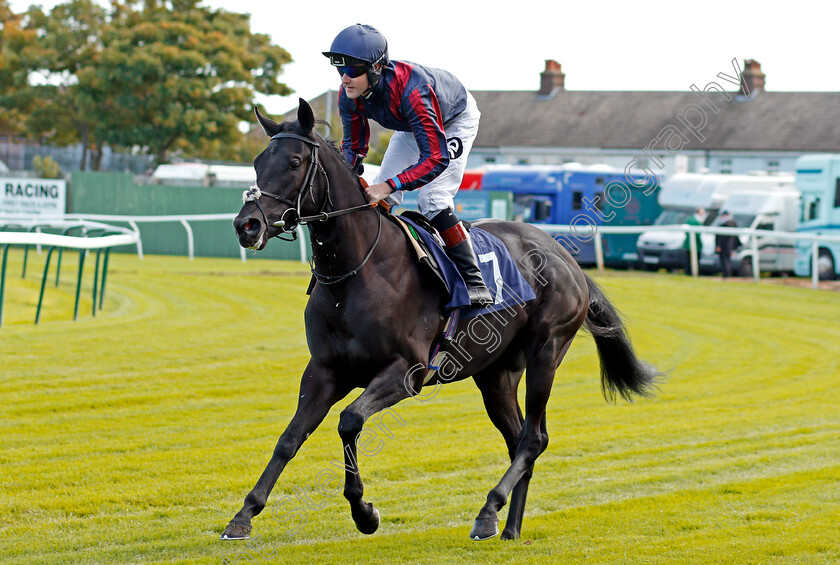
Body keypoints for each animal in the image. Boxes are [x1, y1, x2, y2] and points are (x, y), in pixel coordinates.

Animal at [223, 99, 664, 540]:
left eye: (295, 162)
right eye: (258, 162)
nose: (247, 225)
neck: (357, 271)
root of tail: (565, 257)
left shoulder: (407, 371)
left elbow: (349, 421)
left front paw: (365, 513)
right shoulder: (324, 371)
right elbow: (290, 437)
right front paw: (243, 516)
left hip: (546, 352)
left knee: (534, 438)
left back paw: (488, 512)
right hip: (496, 374)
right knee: (519, 438)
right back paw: (510, 529)